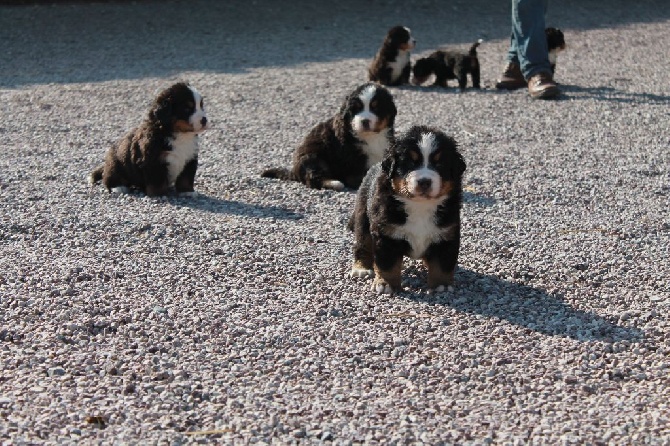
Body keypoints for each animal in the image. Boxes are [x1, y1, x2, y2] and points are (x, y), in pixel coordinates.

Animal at [262, 83, 400, 191]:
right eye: (356, 109)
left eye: (376, 108)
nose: (364, 121)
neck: (372, 136)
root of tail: (294, 170)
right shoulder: (352, 159)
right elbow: (360, 175)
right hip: (313, 157)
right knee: (313, 179)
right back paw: (334, 183)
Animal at [352, 123, 468, 294]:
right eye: (410, 163)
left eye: (439, 164)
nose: (424, 181)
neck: (420, 206)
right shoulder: (386, 234)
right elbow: (387, 264)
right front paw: (386, 284)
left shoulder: (447, 234)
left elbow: (442, 263)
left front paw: (442, 285)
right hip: (363, 217)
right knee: (363, 244)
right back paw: (361, 268)